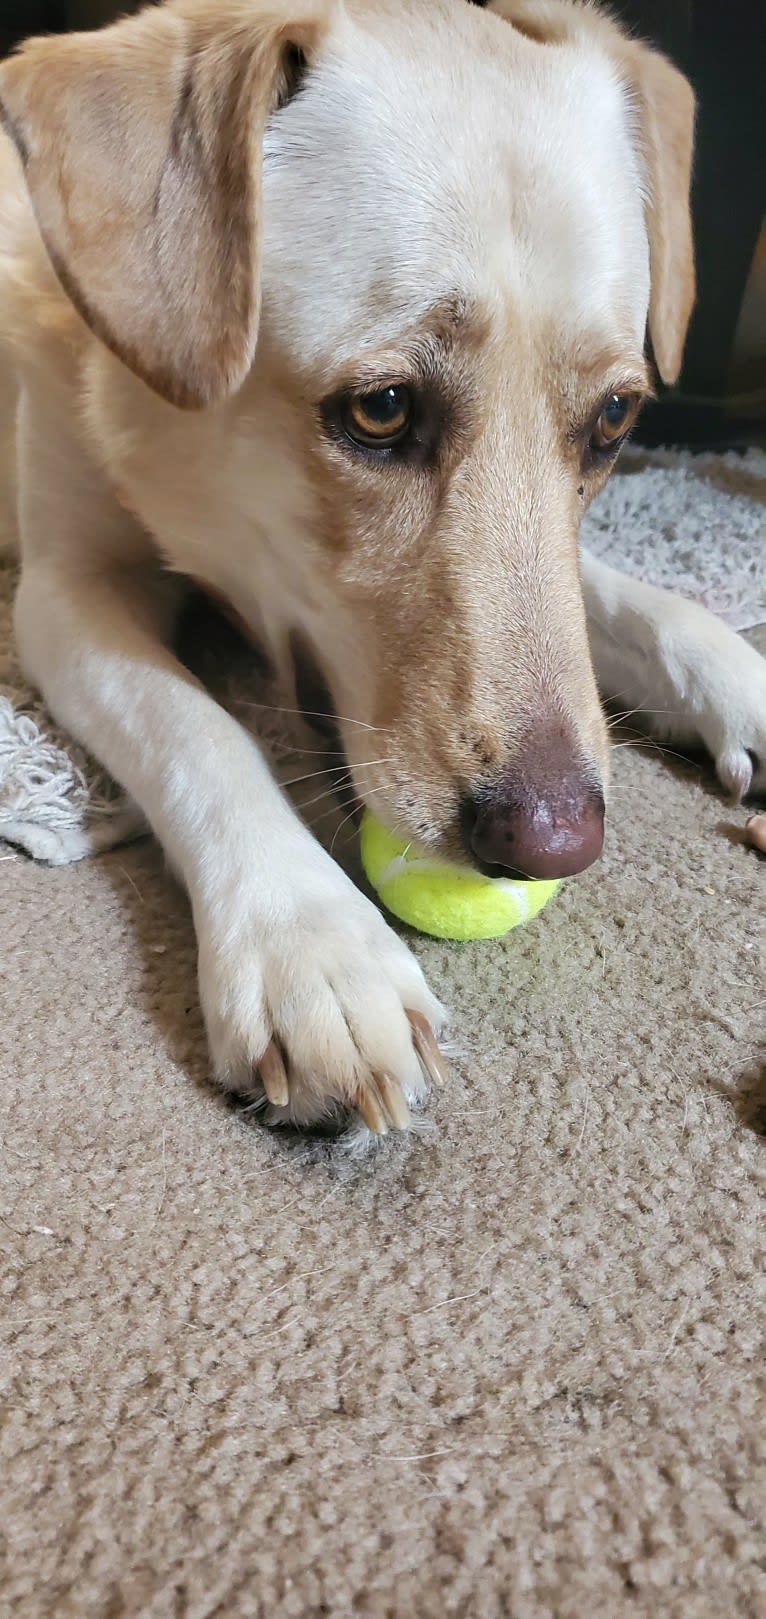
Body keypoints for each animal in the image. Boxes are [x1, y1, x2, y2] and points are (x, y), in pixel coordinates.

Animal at [0, 0, 761, 1139]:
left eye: (616, 419)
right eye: (383, 409)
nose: (554, 842)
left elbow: (637, 604)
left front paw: (741, 682)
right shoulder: (62, 591)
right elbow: (197, 726)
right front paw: (313, 944)